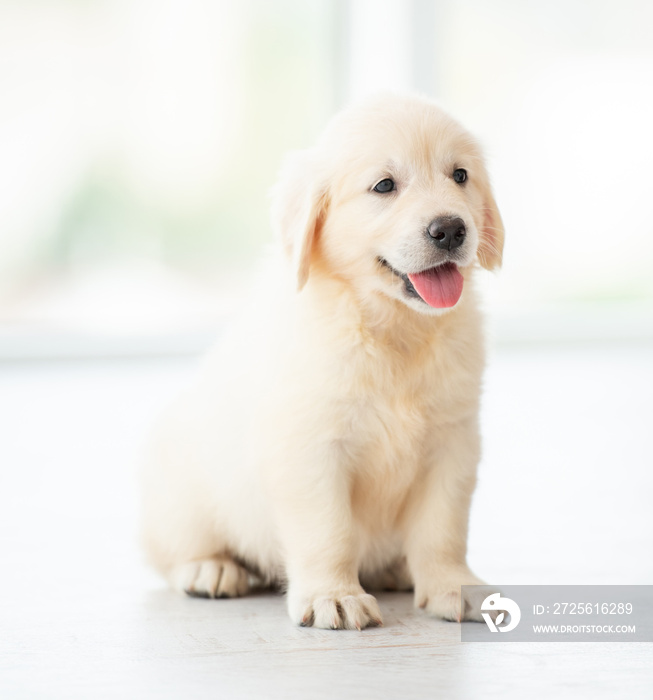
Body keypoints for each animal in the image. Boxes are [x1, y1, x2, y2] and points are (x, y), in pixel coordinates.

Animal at [140, 91, 502, 628]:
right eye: (384, 186)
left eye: (460, 175)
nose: (451, 229)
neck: (391, 328)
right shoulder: (309, 448)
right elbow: (329, 530)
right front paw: (334, 595)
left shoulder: (453, 443)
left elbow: (443, 529)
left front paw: (453, 586)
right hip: (181, 488)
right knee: (173, 550)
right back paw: (210, 568)